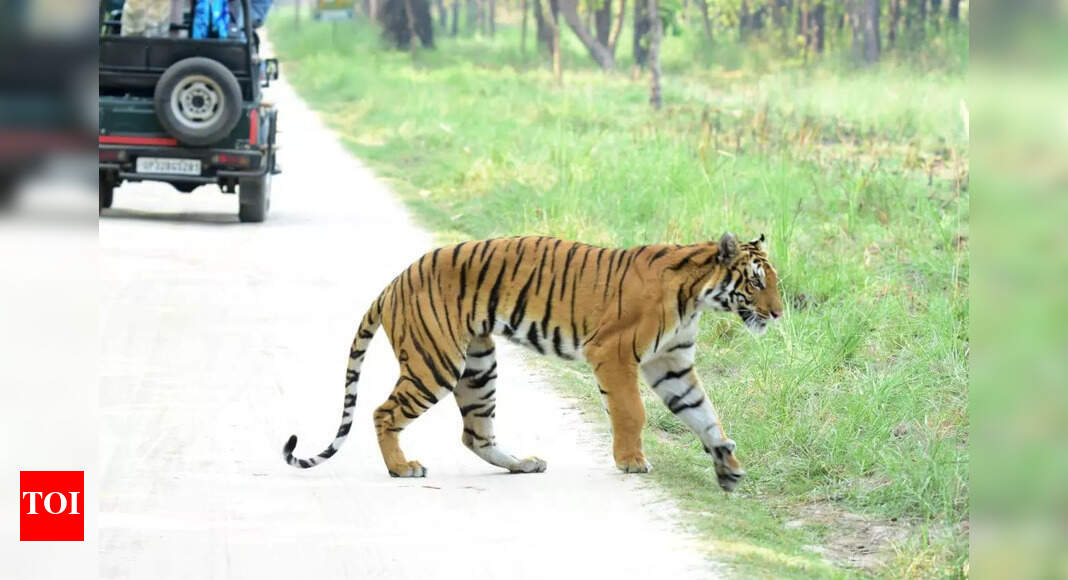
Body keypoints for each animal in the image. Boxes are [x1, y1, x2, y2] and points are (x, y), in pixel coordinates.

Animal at [283, 232, 783, 492]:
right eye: (757, 282)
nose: (779, 313)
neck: (696, 296)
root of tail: (393, 283)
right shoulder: (614, 352)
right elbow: (632, 411)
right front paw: (631, 461)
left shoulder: (672, 363)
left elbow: (704, 414)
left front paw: (727, 464)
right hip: (435, 363)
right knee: (383, 412)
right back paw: (402, 468)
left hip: (478, 365)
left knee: (475, 433)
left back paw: (522, 464)